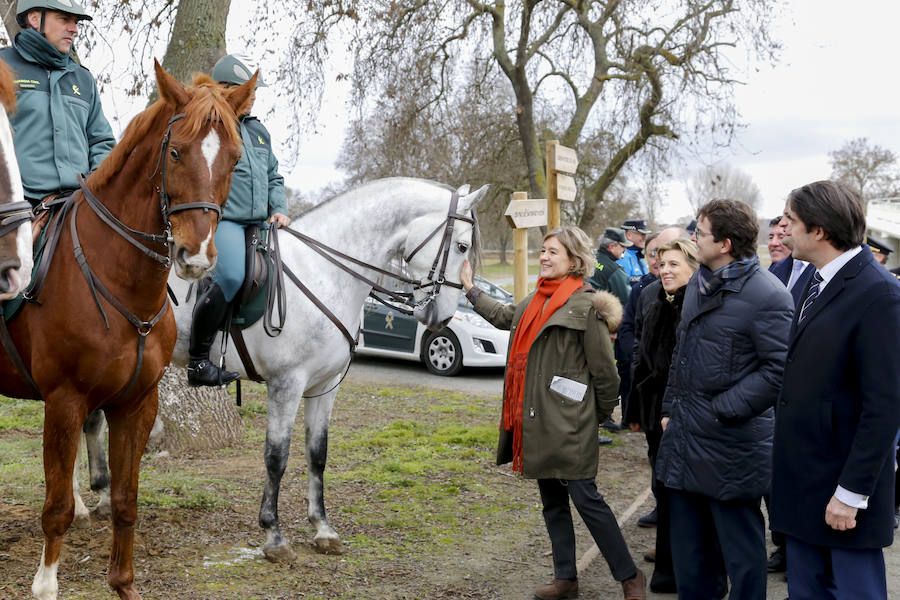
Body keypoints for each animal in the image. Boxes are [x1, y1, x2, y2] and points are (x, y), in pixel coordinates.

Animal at [0, 62, 255, 600]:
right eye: (176, 152)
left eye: (236, 159)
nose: (195, 256)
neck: (117, 278)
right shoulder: (66, 400)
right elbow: (55, 509)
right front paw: (45, 584)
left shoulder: (136, 404)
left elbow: (125, 500)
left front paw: (122, 583)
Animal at [80, 176, 486, 560]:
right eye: (462, 247)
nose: (441, 317)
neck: (324, 270)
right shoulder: (286, 385)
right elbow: (276, 458)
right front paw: (273, 535)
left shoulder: (325, 387)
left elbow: (317, 455)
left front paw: (323, 529)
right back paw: (82, 509)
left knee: (91, 423)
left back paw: (102, 498)